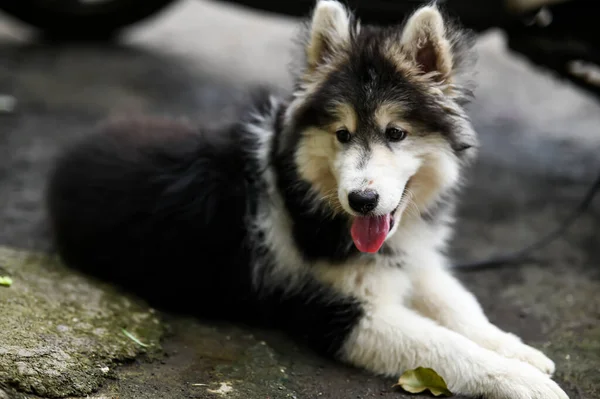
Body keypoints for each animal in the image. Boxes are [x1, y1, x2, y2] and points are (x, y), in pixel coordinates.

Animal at [44, 1, 568, 398]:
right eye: (342, 134)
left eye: (396, 133)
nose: (362, 200)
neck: (313, 200)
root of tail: (67, 158)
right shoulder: (338, 314)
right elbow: (444, 346)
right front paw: (520, 381)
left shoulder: (411, 258)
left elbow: (459, 305)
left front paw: (517, 350)